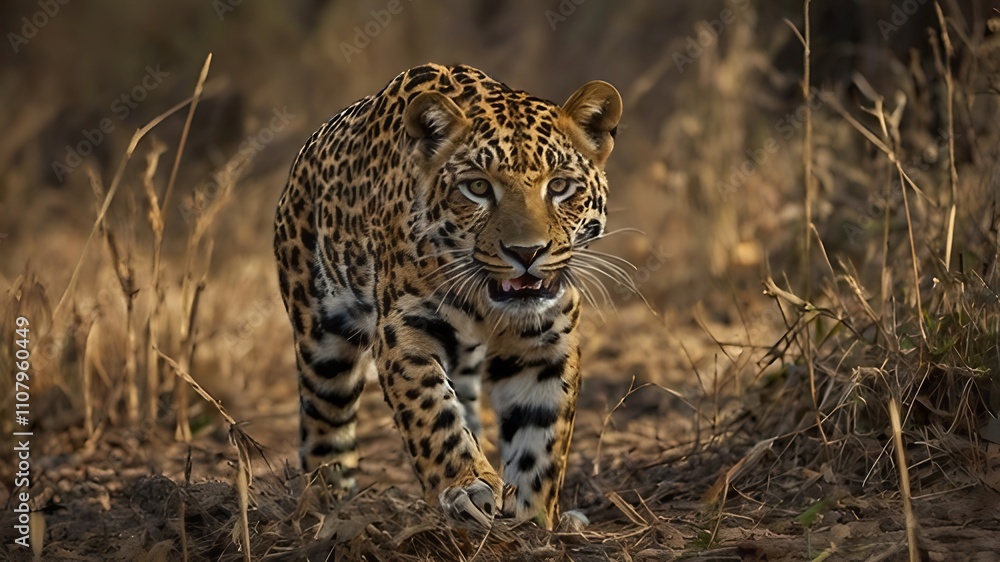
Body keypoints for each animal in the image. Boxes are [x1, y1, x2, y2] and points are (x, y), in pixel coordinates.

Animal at [273, 63, 621, 529]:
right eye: (478, 187)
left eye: (561, 186)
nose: (526, 253)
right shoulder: (404, 331)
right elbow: (433, 413)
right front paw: (469, 487)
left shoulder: (547, 343)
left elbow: (541, 441)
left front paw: (533, 519)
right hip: (321, 339)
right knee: (325, 422)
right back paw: (328, 506)